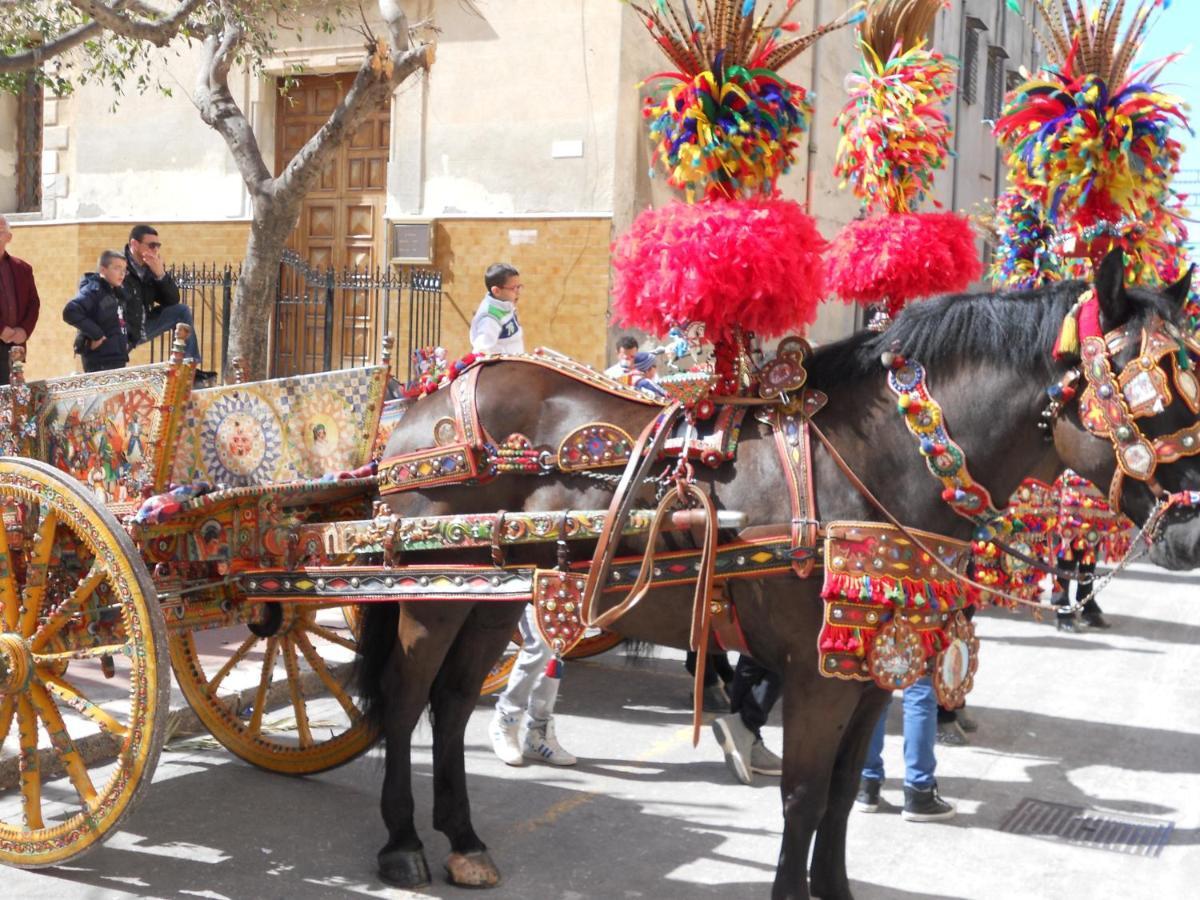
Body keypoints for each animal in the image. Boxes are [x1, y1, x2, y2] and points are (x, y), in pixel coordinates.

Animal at [350, 255, 1195, 900]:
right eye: (1148, 385)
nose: (1189, 530)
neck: (881, 460)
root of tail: (426, 398)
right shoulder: (817, 676)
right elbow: (805, 794)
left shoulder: (874, 672)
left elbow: (842, 797)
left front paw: (836, 888)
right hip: (430, 594)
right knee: (405, 697)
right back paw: (401, 841)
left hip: (492, 598)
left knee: (451, 705)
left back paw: (463, 838)